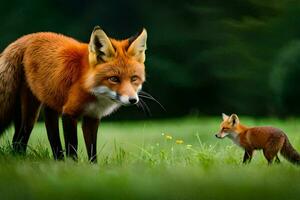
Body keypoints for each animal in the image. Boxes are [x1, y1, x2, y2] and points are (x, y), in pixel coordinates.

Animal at [0, 26, 146, 162]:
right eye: (114, 79)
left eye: (134, 78)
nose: (133, 100)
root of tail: (26, 37)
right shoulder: (69, 113)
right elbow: (72, 147)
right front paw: (73, 167)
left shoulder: (92, 117)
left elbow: (92, 151)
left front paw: (93, 168)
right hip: (31, 111)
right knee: (20, 139)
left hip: (48, 106)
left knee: (33, 138)